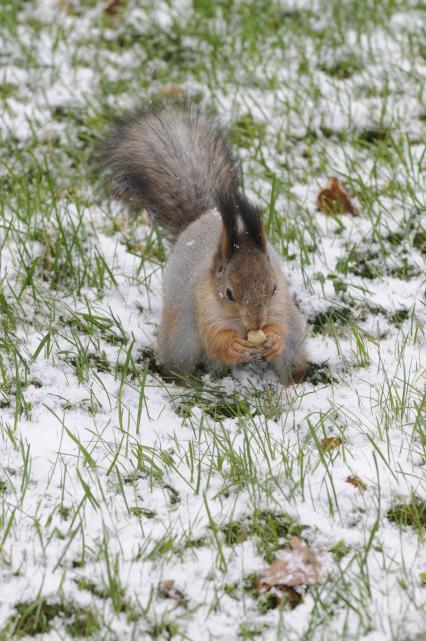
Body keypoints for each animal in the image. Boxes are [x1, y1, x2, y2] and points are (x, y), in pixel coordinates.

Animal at [101, 105, 308, 384]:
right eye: (229, 293)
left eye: (274, 287)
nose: (256, 323)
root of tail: (204, 216)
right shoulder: (205, 308)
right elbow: (214, 340)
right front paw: (233, 346)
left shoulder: (280, 306)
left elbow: (280, 327)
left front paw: (273, 339)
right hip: (179, 340)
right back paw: (183, 383)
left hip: (296, 337)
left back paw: (291, 385)